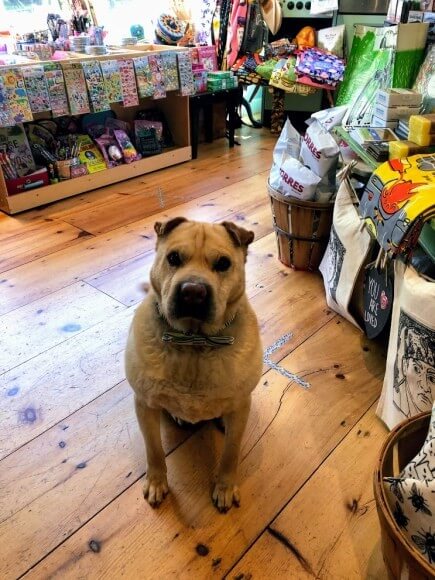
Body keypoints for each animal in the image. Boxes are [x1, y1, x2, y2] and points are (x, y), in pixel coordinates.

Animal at [125, 218, 262, 512]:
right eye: (173, 258)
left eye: (223, 264)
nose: (193, 292)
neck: (193, 341)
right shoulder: (145, 405)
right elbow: (154, 450)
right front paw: (157, 481)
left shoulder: (241, 407)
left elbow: (231, 453)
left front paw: (224, 486)